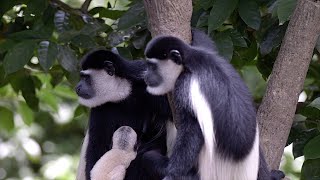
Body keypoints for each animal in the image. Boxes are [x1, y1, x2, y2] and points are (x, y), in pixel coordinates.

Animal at [74, 48, 172, 179]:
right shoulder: (100, 110)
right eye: (82, 77)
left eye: (85, 78)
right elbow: (97, 148)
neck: (123, 91)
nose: (77, 88)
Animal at [142, 29, 284, 180]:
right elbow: (207, 44)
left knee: (150, 158)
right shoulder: (211, 55)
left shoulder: (185, 86)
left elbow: (191, 131)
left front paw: (172, 174)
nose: (146, 76)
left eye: (152, 67)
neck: (192, 61)